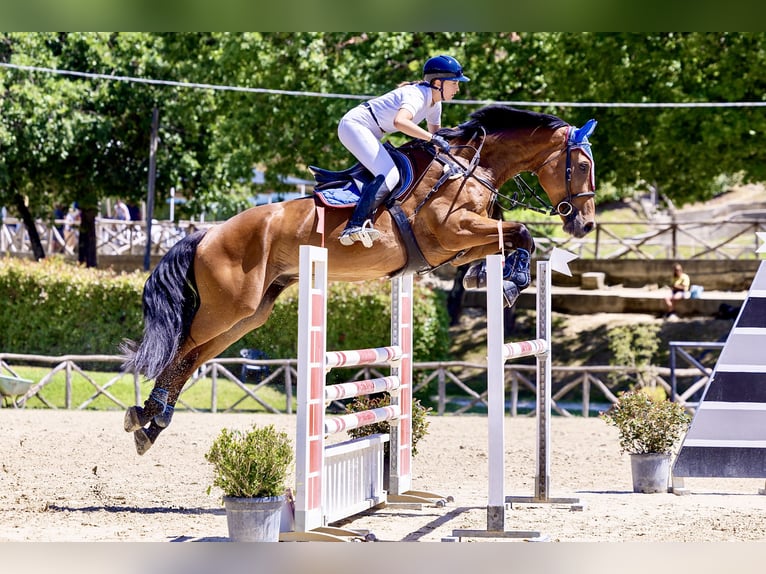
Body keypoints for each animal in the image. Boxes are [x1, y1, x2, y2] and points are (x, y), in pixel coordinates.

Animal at [121, 103, 600, 454]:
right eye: (580, 165)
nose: (584, 225)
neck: (469, 168)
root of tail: (207, 233)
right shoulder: (452, 232)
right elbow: (522, 231)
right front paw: (509, 281)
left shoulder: (461, 243)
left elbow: (511, 237)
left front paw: (501, 279)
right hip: (229, 306)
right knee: (184, 347)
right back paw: (146, 415)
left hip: (249, 313)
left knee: (194, 354)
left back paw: (152, 422)